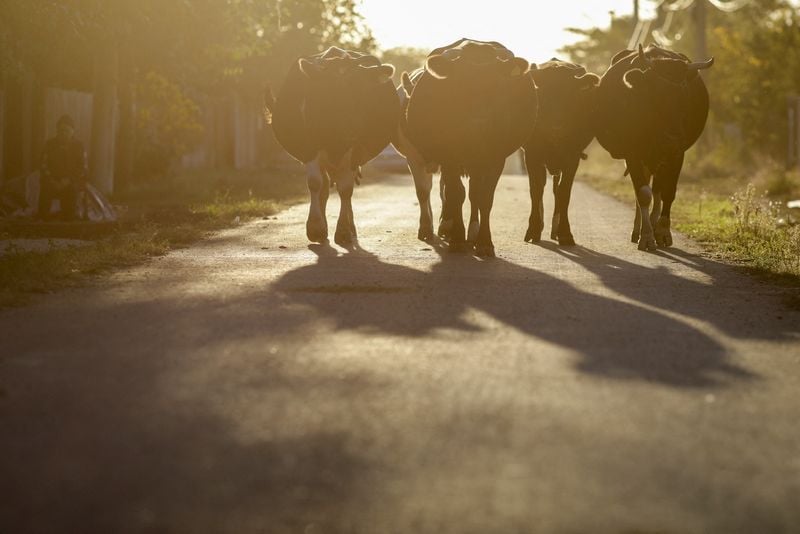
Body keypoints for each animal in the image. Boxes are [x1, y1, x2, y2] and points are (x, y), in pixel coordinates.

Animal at [264, 47, 399, 246]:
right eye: (328, 90)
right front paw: (315, 228)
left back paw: (351, 227)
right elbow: (315, 183)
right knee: (325, 186)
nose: (351, 127)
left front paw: (343, 231)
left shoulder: (353, 149)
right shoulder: (310, 146)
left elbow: (346, 189)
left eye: (360, 89)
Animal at [404, 38, 538, 257]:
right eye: (459, 86)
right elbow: (456, 193)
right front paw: (457, 238)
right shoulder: (449, 156)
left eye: (498, 87)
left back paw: (473, 233)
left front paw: (484, 242)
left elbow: (484, 198)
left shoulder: (495, 157)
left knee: (475, 194)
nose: (479, 123)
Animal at [523, 59, 600, 246]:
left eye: (570, 94)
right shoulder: (532, 156)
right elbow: (536, 190)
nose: (556, 124)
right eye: (544, 93)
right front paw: (534, 228)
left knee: (557, 192)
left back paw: (555, 229)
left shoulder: (572, 158)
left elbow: (564, 193)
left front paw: (564, 232)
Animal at [595, 43, 713, 251]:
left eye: (685, 94)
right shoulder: (633, 153)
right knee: (643, 191)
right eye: (656, 93)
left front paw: (663, 232)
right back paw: (639, 229)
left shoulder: (677, 153)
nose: (671, 139)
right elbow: (643, 194)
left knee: (657, 189)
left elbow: (668, 192)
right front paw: (647, 236)